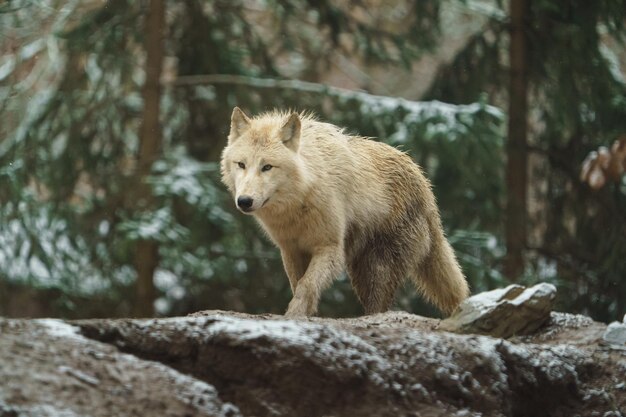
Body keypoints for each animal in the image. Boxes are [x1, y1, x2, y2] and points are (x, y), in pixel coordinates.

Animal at [221, 106, 468, 316]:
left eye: (267, 167)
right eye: (241, 164)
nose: (244, 201)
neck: (300, 199)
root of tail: (425, 186)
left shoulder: (329, 248)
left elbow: (306, 285)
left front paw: (294, 315)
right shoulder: (291, 250)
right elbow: (298, 284)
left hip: (377, 269)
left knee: (379, 307)